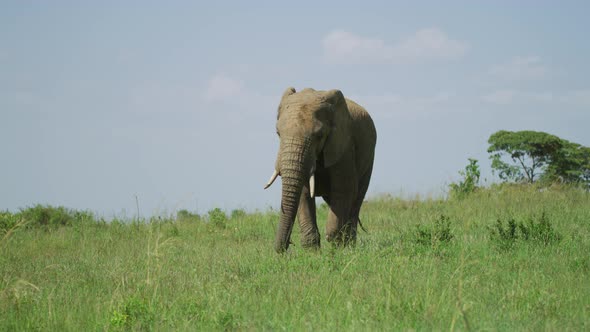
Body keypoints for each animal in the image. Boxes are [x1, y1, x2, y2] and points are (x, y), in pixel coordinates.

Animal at [264, 87, 376, 253]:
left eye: (319, 135)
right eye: (278, 133)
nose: (282, 250)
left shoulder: (344, 146)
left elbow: (343, 190)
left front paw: (336, 252)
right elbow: (303, 195)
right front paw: (312, 254)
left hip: (369, 160)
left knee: (356, 200)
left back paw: (349, 247)